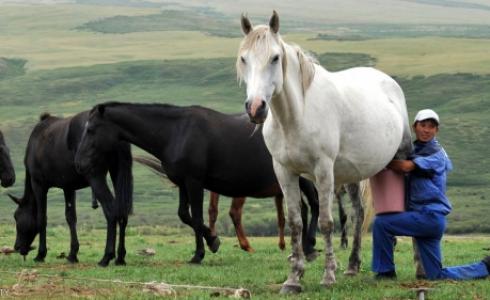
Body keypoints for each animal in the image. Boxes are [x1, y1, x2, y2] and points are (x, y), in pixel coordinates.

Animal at [9, 112, 132, 264]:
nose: (17, 247)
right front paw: (73, 253)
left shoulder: (39, 185)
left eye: (16, 216)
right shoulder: (68, 187)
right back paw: (120, 257)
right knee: (122, 212)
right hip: (117, 172)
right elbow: (71, 217)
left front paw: (41, 254)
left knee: (111, 211)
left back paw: (107, 256)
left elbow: (41, 218)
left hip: (96, 178)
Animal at [75, 102, 322, 264]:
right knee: (304, 208)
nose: (79, 162)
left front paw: (199, 254)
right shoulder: (183, 183)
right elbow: (185, 215)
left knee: (314, 204)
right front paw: (212, 240)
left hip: (303, 176)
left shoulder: (194, 182)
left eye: (91, 130)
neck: (176, 132)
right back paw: (301, 248)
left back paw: (309, 246)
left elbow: (195, 216)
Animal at [235, 11, 412, 292]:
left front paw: (328, 275)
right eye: (244, 58)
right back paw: (352, 265)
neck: (296, 116)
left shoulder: (323, 170)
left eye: (275, 58)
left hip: (399, 159)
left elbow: (326, 223)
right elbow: (295, 222)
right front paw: (293, 279)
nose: (255, 108)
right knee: (359, 213)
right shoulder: (284, 171)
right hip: (352, 174)